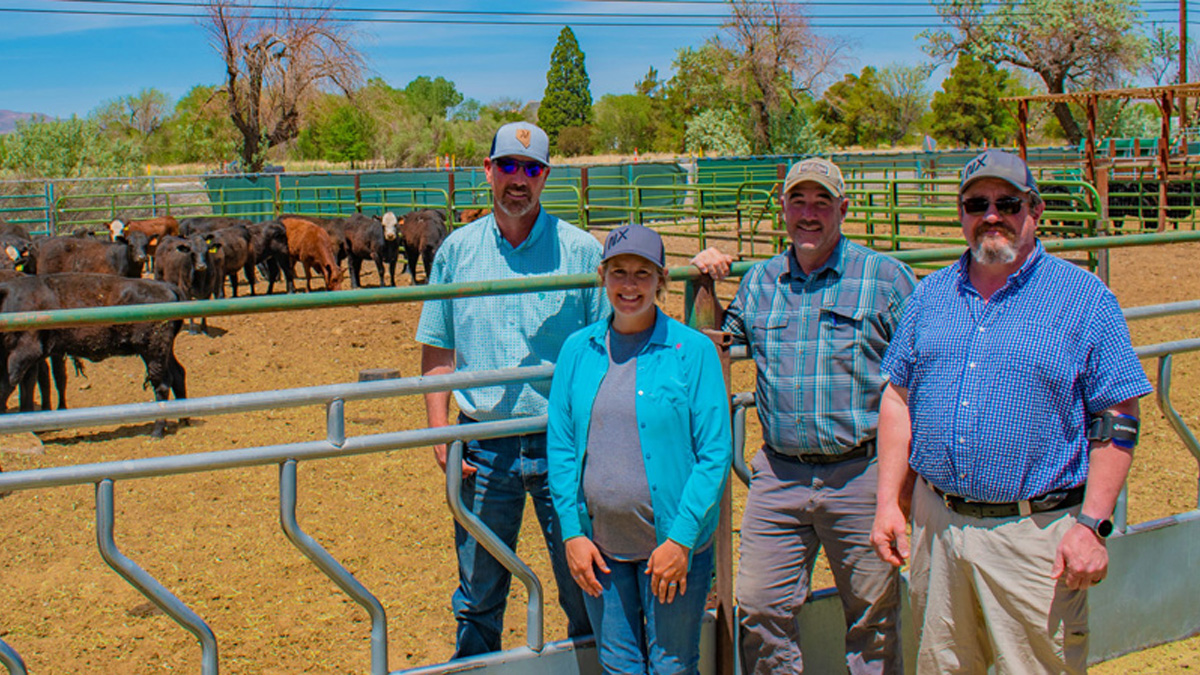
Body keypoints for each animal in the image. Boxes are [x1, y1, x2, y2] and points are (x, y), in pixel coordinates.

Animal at [0, 273, 187, 437]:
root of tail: (166, 286)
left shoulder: (24, 353)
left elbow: (8, 385)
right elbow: (24, 389)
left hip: (153, 352)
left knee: (162, 384)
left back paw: (157, 431)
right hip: (163, 352)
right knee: (178, 374)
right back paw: (184, 419)